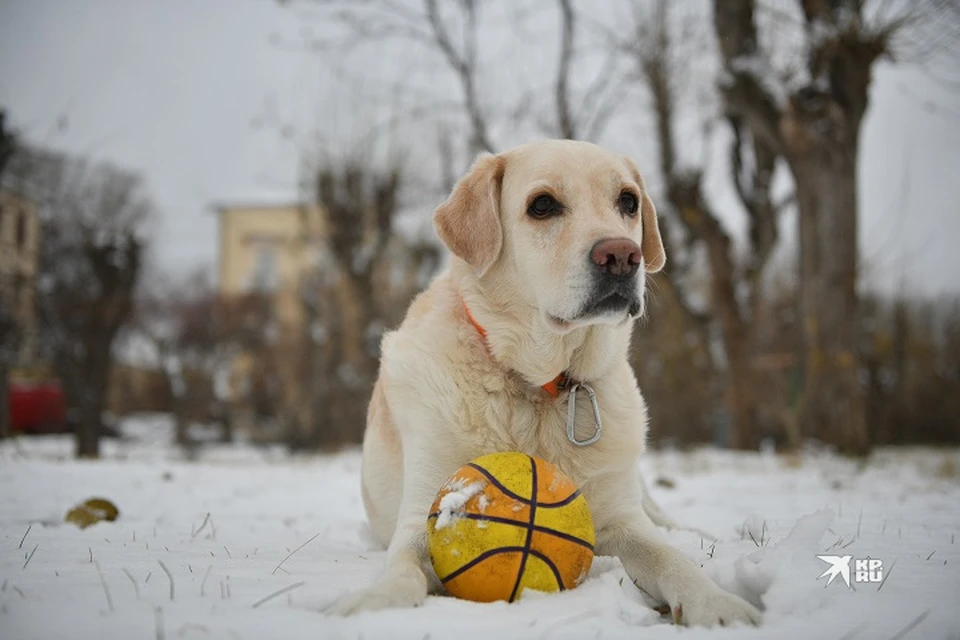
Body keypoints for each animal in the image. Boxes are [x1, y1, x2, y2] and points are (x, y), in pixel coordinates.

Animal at [334, 139, 760, 624]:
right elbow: (403, 568)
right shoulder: (421, 515)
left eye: (628, 201)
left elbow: (671, 558)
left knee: (668, 523)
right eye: (542, 205)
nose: (622, 256)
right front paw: (377, 601)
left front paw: (718, 603)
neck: (541, 386)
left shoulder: (623, 520)